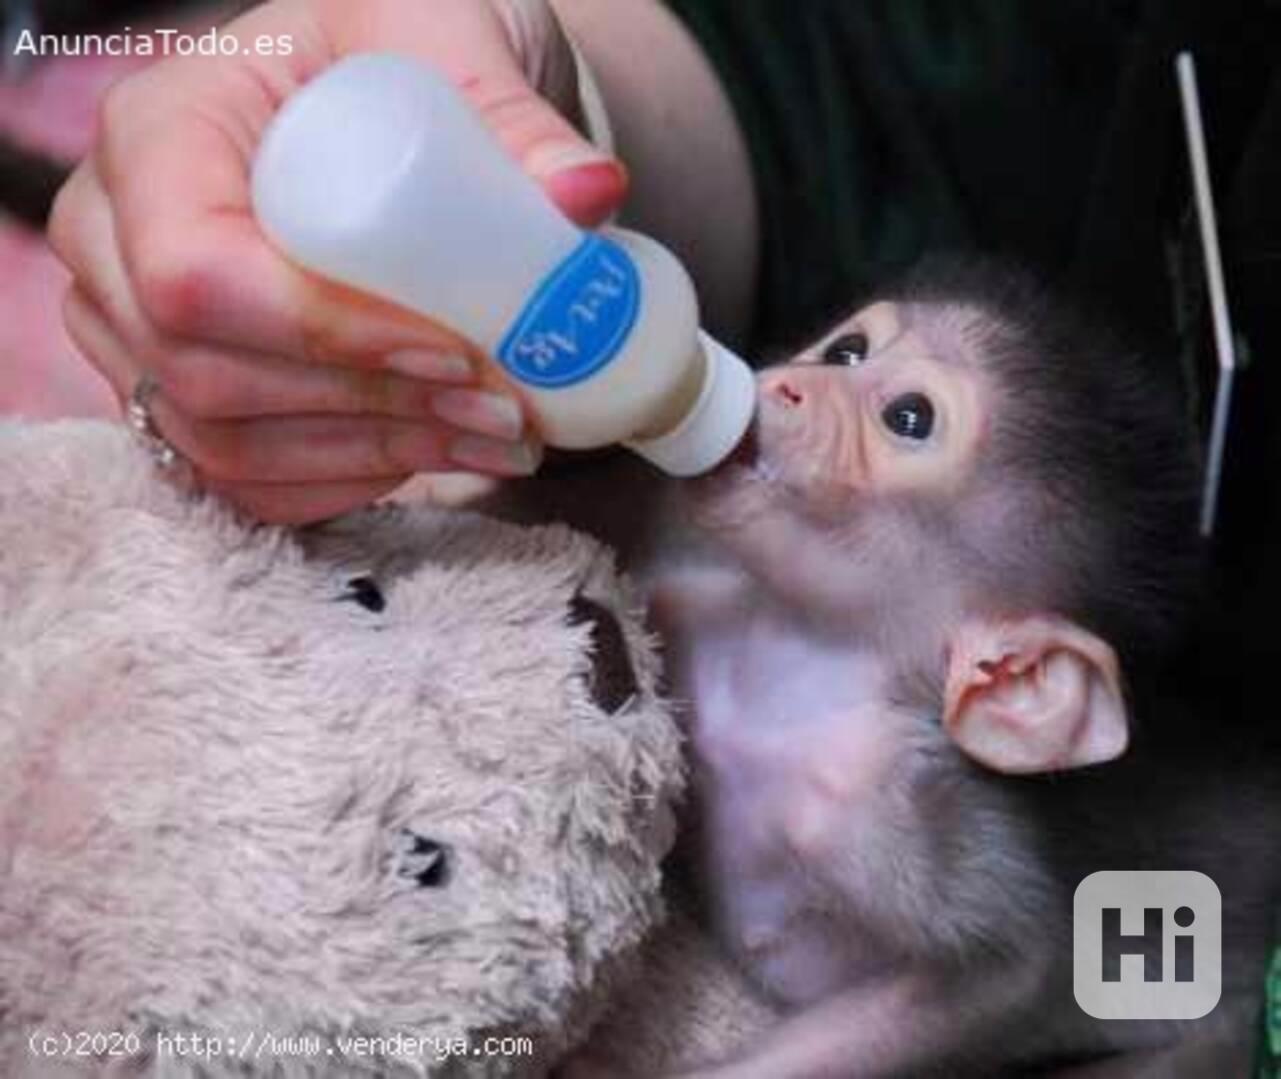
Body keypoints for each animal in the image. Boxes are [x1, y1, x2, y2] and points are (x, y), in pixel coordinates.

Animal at [494, 256, 1275, 1071]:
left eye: (908, 418)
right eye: (848, 351)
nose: (788, 385)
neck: (789, 662)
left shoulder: (888, 805)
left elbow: (1004, 973)